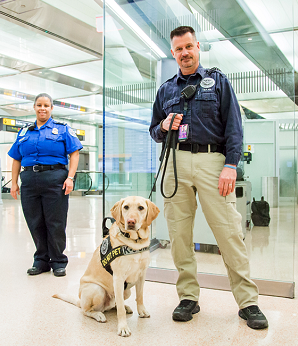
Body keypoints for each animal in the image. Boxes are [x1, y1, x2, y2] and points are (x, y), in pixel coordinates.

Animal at [53, 196, 161, 336]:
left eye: (141, 208)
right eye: (126, 207)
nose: (130, 222)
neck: (134, 243)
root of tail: (80, 302)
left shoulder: (142, 275)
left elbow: (140, 296)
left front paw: (141, 311)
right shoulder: (118, 278)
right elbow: (120, 309)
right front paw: (123, 327)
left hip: (127, 291)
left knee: (114, 304)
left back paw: (125, 307)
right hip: (97, 290)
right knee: (86, 311)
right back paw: (98, 314)